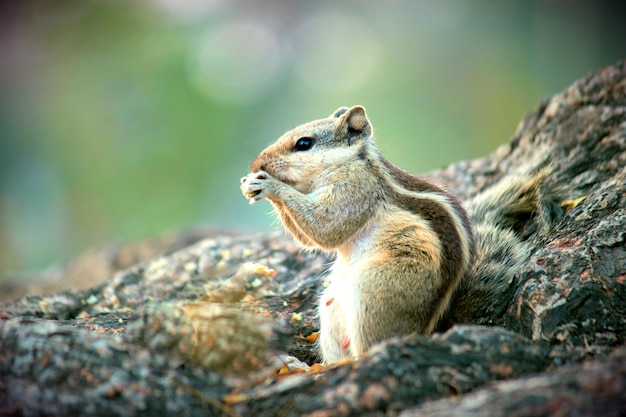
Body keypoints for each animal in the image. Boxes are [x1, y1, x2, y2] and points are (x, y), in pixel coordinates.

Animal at [239, 105, 552, 362]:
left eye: (304, 143)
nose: (256, 165)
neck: (353, 162)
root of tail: (427, 329)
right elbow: (308, 238)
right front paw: (249, 182)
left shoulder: (355, 192)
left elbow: (326, 228)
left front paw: (268, 185)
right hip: (331, 309)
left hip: (373, 292)